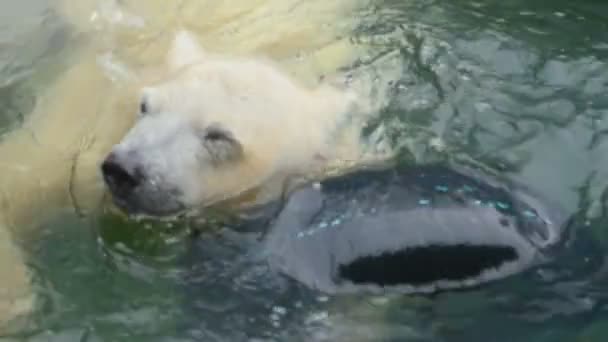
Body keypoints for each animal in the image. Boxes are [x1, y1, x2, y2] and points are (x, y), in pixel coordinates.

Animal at [0, 0, 404, 332]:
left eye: (218, 136)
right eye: (146, 105)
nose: (124, 170)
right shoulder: (90, 129)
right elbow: (21, 175)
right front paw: (16, 302)